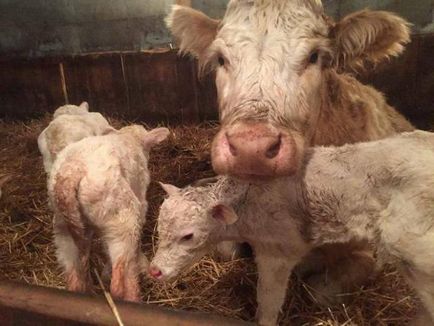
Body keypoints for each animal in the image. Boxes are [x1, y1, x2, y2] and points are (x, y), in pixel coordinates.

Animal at [50, 124, 170, 300]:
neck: (129, 138)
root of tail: (72, 173)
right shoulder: (141, 196)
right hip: (122, 217)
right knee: (118, 283)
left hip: (63, 226)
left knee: (74, 276)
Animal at [165, 0, 414, 306]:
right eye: (221, 59)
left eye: (314, 56)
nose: (251, 148)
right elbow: (228, 250)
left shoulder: (369, 255)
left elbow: (318, 291)